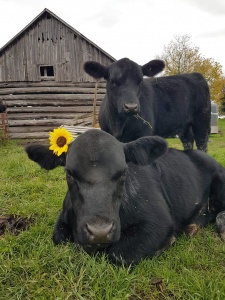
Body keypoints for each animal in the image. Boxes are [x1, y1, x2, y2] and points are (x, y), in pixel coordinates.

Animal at [25, 130, 225, 266]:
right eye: (69, 173)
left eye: (123, 172)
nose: (100, 231)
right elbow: (59, 238)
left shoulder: (159, 222)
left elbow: (118, 254)